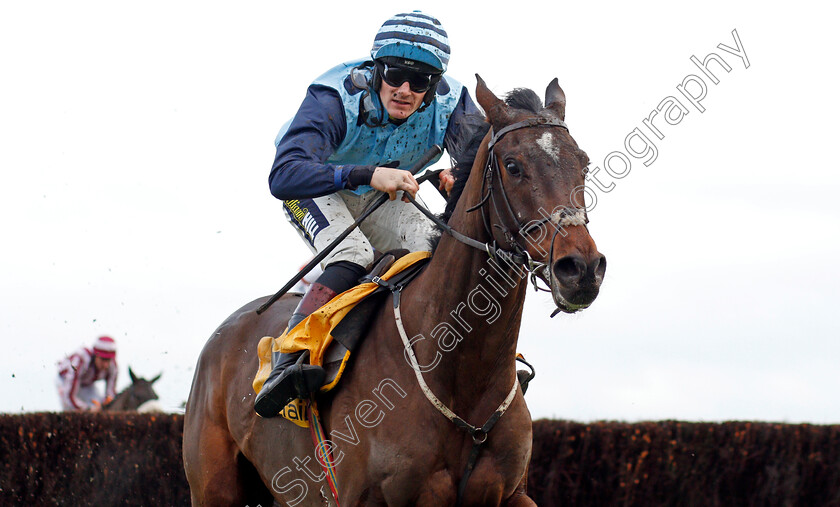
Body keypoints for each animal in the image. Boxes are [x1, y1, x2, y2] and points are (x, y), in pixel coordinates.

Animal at [184, 76, 604, 507]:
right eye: (513, 165)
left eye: (584, 162)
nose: (581, 268)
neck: (460, 376)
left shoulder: (512, 494)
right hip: (214, 488)